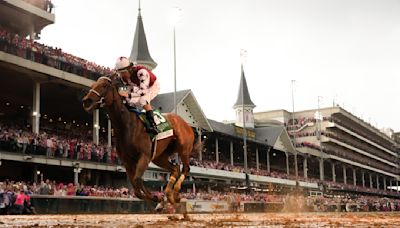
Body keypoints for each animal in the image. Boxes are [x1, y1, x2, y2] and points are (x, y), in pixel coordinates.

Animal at [81, 74, 202, 206]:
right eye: (93, 85)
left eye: (104, 85)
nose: (86, 101)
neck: (127, 125)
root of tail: (188, 125)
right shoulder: (127, 161)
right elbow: (136, 188)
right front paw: (157, 199)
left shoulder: (144, 156)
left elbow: (138, 180)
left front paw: (156, 198)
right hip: (160, 157)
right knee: (175, 169)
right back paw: (169, 195)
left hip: (183, 149)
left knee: (185, 168)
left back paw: (175, 193)